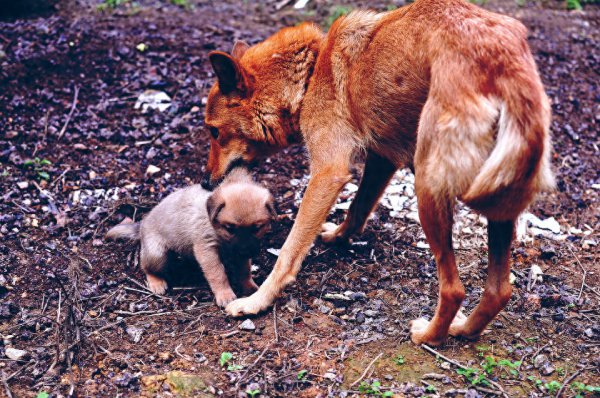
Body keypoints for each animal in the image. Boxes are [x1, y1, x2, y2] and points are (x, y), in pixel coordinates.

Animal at [106, 169, 276, 306]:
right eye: (230, 228)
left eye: (257, 228)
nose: (245, 251)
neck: (213, 224)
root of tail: (142, 224)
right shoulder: (207, 250)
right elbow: (218, 274)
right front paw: (225, 294)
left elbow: (244, 270)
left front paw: (249, 287)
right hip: (157, 253)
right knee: (146, 266)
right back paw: (156, 282)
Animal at [200, 0, 552, 346]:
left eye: (214, 132)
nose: (204, 181)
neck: (311, 72)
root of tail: (502, 66)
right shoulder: (382, 160)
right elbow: (358, 209)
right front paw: (338, 236)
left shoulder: (328, 172)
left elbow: (289, 250)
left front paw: (257, 301)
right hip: (498, 206)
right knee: (498, 291)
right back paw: (463, 330)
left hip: (428, 190)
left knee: (454, 290)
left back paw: (428, 336)